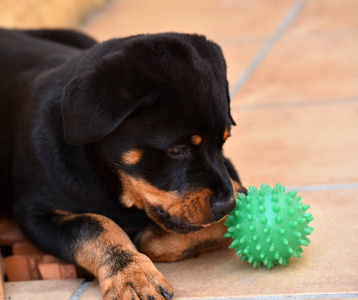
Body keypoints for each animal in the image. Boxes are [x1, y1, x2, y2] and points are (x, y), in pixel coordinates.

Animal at [0, 28, 245, 300]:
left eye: (222, 142)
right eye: (176, 150)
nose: (226, 205)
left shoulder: (231, 178)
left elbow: (230, 218)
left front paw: (147, 241)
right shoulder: (34, 212)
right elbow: (94, 226)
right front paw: (131, 275)